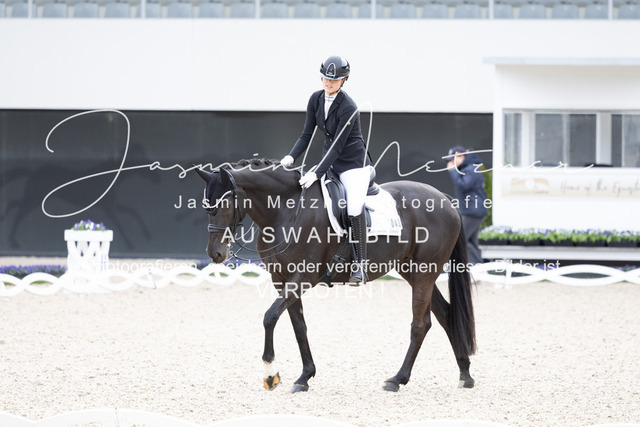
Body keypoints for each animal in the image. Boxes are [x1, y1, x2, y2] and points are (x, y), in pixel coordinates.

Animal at [195, 158, 476, 393]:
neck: (286, 211)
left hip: (424, 272)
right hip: (412, 271)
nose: (215, 253)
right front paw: (304, 377)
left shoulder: (303, 277)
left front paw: (270, 375)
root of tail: (444, 199)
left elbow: (270, 316)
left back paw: (397, 379)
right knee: (444, 315)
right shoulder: (282, 280)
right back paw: (464, 374)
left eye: (222, 205)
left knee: (420, 324)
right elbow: (298, 326)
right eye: (206, 207)